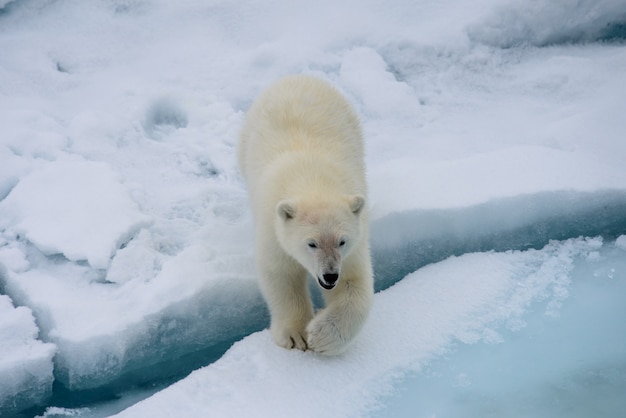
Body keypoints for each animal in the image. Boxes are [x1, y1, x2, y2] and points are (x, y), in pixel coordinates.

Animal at [239, 75, 372, 356]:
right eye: (311, 243)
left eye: (342, 241)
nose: (330, 275)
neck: (313, 180)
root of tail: (300, 76)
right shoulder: (273, 227)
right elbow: (281, 275)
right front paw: (295, 335)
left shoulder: (354, 242)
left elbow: (354, 282)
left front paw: (320, 336)